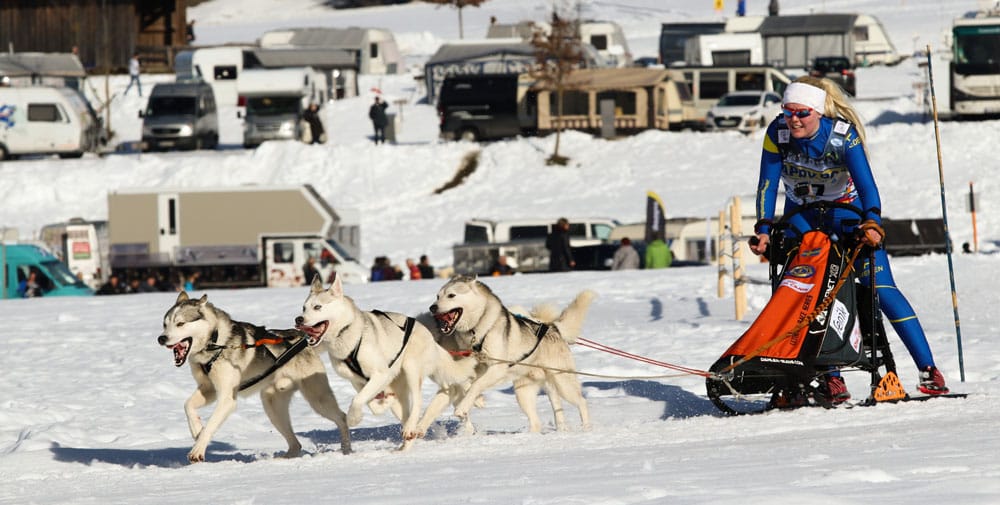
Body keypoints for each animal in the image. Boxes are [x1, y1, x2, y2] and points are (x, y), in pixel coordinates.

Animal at [159, 290, 352, 462]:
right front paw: (196, 430)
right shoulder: (209, 389)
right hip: (273, 408)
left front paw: (198, 449)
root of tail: (303, 339)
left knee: (342, 418)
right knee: (296, 444)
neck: (215, 342)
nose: (161, 338)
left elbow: (211, 424)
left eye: (180, 323)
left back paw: (346, 449)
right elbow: (188, 406)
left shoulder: (227, 399)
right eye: (165, 324)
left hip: (317, 399)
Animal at [294, 274, 478, 450]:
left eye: (318, 307)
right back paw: (404, 445)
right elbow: (371, 405)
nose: (298, 320)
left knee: (417, 402)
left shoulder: (380, 375)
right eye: (304, 308)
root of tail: (429, 335)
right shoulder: (358, 381)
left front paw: (353, 419)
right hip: (398, 385)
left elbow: (357, 401)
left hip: (411, 368)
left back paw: (410, 428)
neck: (347, 335)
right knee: (404, 414)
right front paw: (384, 402)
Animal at [428, 276, 592, 434]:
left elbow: (476, 385)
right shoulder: (468, 365)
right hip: (524, 393)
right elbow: (465, 381)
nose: (432, 307)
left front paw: (463, 407)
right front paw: (477, 400)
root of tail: (553, 327)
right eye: (437, 296)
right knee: (537, 420)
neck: (476, 331)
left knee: (582, 402)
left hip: (563, 383)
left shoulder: (497, 368)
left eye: (451, 295)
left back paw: (586, 428)